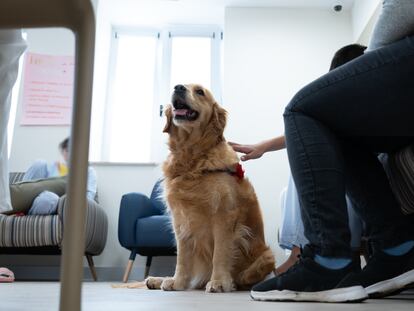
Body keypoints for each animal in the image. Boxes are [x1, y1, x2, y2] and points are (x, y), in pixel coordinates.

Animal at [146, 84, 274, 294]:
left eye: (199, 91)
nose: (178, 87)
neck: (192, 158)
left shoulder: (224, 215)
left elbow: (220, 253)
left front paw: (220, 281)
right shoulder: (180, 221)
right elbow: (182, 258)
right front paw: (177, 282)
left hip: (267, 257)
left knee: (245, 276)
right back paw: (160, 279)